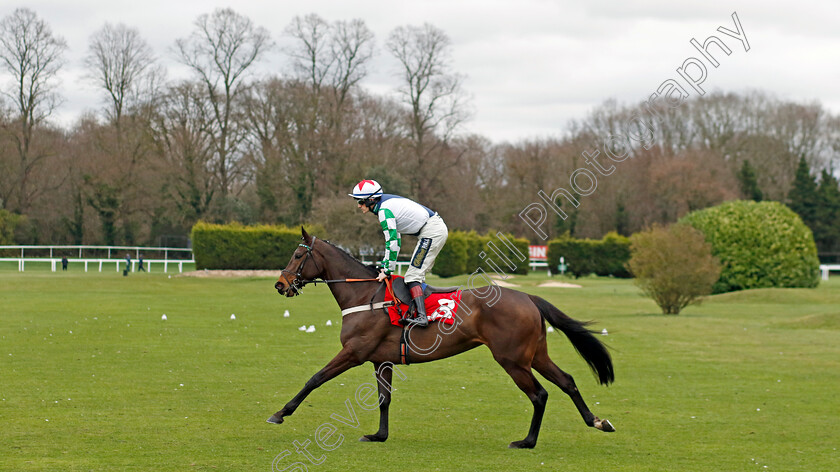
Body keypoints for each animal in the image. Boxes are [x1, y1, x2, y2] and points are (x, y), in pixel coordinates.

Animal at [270, 229, 616, 450]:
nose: (280, 284)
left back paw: (527, 441)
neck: (365, 295)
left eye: (298, 254)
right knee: (567, 381)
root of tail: (528, 297)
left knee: (540, 394)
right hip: (536, 355)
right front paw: (379, 435)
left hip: (513, 360)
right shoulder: (381, 360)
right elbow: (384, 399)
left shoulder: (354, 352)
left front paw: (281, 413)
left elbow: (315, 378)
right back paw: (597, 421)